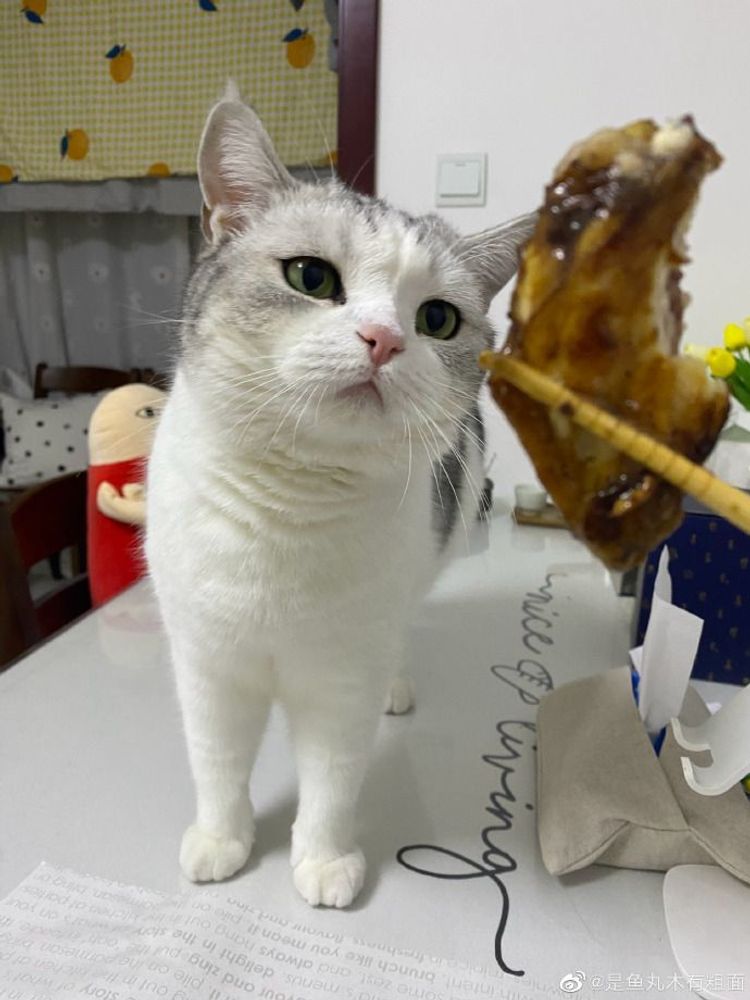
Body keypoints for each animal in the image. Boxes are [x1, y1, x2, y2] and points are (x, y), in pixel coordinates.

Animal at [145, 87, 534, 909]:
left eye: (436, 319)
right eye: (312, 278)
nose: (385, 339)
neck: (289, 505)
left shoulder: (341, 682)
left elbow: (330, 781)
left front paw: (323, 862)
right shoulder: (208, 668)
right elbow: (218, 765)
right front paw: (222, 841)